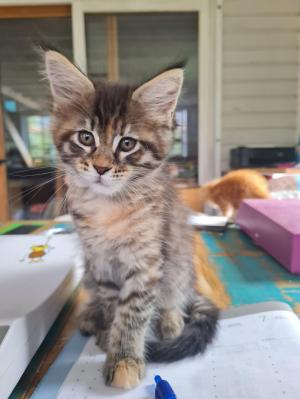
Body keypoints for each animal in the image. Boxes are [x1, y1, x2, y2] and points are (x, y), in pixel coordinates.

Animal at [44, 50, 218, 390]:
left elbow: (134, 312)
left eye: (127, 143)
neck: (109, 206)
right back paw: (92, 317)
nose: (100, 168)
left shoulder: (148, 260)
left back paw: (171, 319)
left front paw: (125, 358)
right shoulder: (100, 261)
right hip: (88, 271)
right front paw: (111, 334)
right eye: (86, 138)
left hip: (178, 261)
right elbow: (114, 305)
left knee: (176, 294)